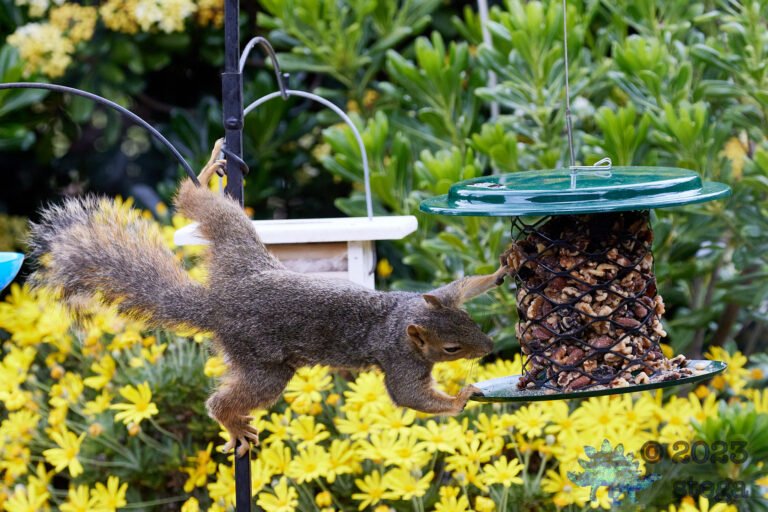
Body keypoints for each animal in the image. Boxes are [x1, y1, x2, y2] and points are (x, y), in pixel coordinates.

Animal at [28, 140, 506, 457]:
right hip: (265, 365)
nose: (489, 347)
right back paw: (232, 421)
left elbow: (465, 282)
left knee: (200, 204)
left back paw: (206, 173)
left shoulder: (433, 297)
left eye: (470, 320)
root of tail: (217, 302)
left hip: (235, 241)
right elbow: (410, 398)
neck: (403, 317)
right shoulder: (401, 361)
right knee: (226, 399)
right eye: (452, 348)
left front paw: (502, 270)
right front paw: (461, 398)